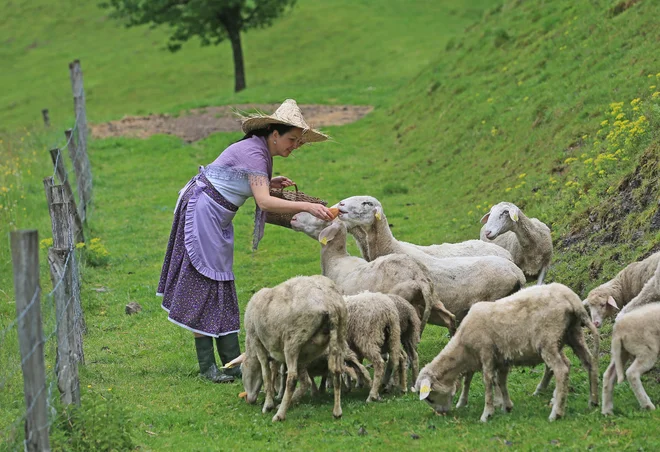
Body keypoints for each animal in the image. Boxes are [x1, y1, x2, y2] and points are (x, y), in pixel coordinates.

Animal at [241, 274, 346, 422]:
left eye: (242, 371)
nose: (249, 400)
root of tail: (330, 304)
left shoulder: (257, 340)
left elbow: (266, 374)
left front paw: (268, 404)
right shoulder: (302, 355)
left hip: (293, 341)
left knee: (292, 379)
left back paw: (279, 414)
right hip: (339, 336)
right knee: (336, 371)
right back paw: (337, 411)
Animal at [292, 212, 456, 332]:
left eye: (320, 216)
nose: (294, 217)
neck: (336, 258)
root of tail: (418, 276)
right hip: (433, 299)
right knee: (450, 318)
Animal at [412, 284, 600, 422]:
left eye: (429, 398)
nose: (441, 413)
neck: (462, 346)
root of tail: (572, 299)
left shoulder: (486, 353)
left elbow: (488, 381)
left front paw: (487, 413)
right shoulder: (501, 359)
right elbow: (500, 381)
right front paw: (506, 406)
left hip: (549, 339)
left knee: (561, 370)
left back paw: (556, 413)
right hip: (573, 334)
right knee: (589, 362)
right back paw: (593, 401)